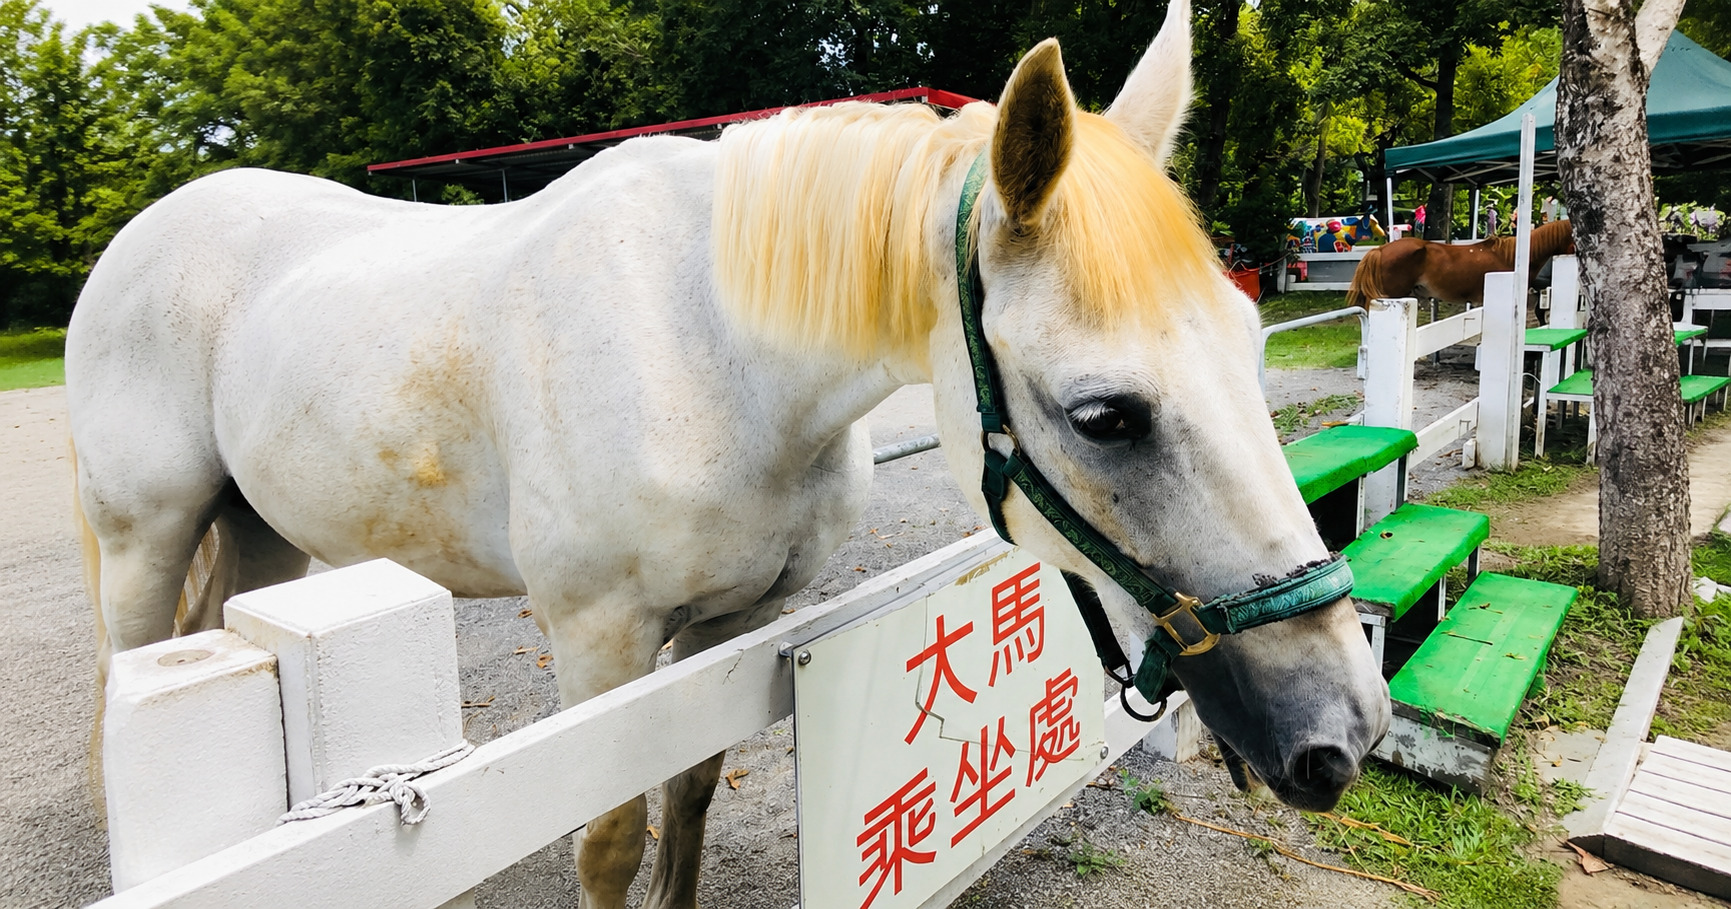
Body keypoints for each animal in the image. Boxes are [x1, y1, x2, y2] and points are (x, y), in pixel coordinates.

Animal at [66, 4, 1388, 905]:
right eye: (1106, 414)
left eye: (1248, 342)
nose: (1347, 730)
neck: (708, 352)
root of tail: (150, 227)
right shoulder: (599, 639)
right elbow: (609, 838)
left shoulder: (731, 621)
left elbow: (691, 790)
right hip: (145, 538)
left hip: (265, 533)